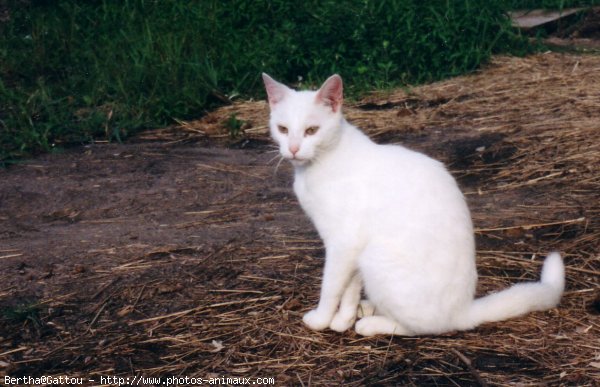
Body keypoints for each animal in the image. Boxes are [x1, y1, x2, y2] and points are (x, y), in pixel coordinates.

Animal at [262, 73, 564, 336]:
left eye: (312, 130)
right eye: (283, 129)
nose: (293, 149)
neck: (318, 165)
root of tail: (462, 310)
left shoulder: (343, 243)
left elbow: (332, 286)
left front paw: (322, 319)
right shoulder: (351, 246)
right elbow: (349, 288)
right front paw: (341, 320)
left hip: (377, 258)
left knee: (423, 328)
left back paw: (372, 324)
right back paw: (367, 308)